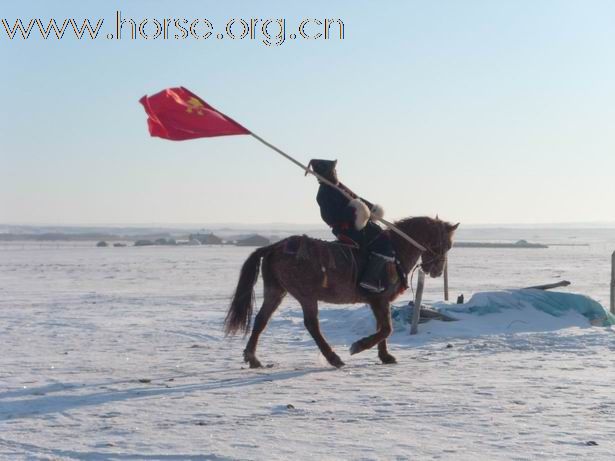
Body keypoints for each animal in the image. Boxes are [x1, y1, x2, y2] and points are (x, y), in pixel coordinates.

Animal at [224, 216, 460, 366]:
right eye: (446, 245)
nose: (437, 271)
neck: (396, 251)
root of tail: (275, 247)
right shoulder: (380, 299)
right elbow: (386, 329)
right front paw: (359, 346)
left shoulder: (378, 302)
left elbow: (382, 327)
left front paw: (385, 356)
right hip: (306, 295)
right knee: (312, 325)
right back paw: (333, 358)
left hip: (276, 291)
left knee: (261, 320)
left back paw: (252, 358)